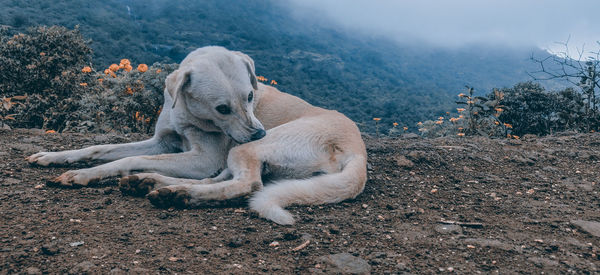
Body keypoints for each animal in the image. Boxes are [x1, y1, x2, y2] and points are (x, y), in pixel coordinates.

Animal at [27, 46, 366, 225]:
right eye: (222, 108)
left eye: (250, 96)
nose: (260, 132)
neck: (188, 116)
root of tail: (358, 151)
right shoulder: (162, 143)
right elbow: (101, 148)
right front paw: (56, 157)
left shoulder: (205, 157)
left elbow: (127, 159)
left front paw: (84, 175)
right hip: (243, 156)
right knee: (222, 179)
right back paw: (153, 184)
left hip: (246, 151)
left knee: (246, 184)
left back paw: (179, 194)